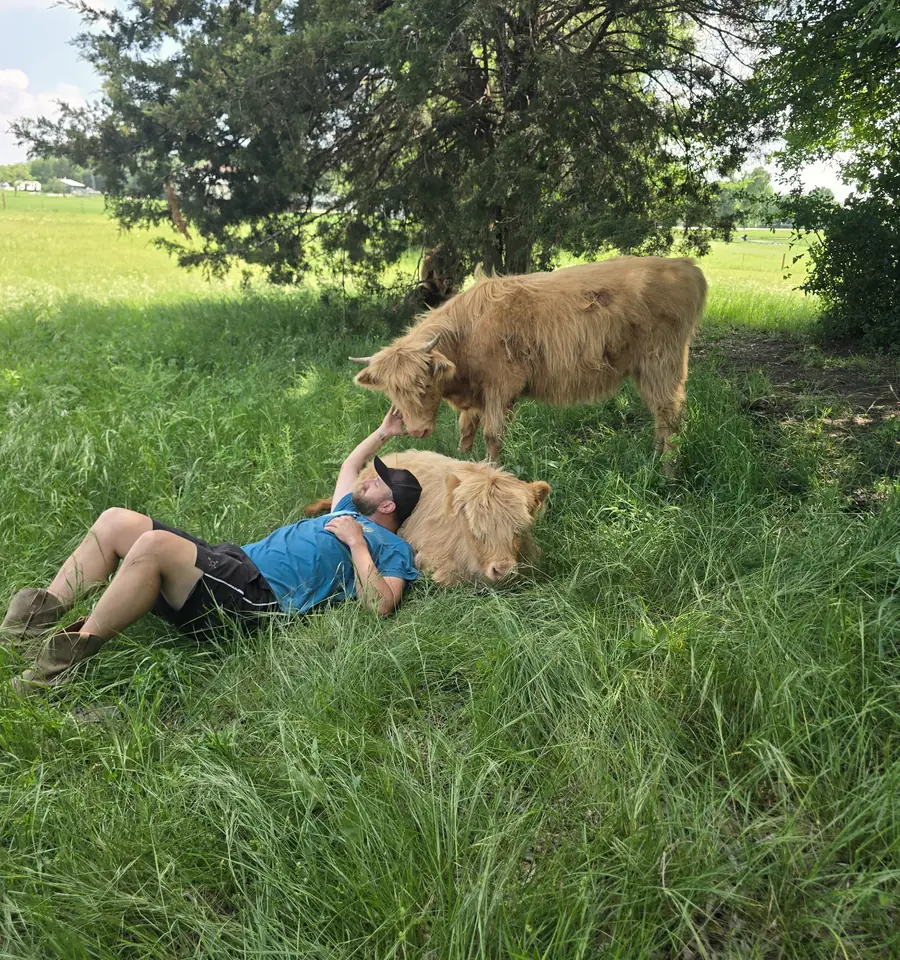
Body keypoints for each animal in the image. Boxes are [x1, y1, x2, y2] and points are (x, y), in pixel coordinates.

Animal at [350, 256, 707, 472]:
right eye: (392, 393)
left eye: (425, 384)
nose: (418, 430)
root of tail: (683, 265)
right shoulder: (478, 394)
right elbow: (467, 428)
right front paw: (464, 456)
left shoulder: (500, 385)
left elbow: (492, 435)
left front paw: (492, 470)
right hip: (647, 370)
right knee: (660, 415)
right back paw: (656, 459)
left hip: (662, 361)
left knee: (669, 414)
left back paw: (666, 471)